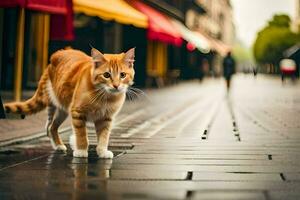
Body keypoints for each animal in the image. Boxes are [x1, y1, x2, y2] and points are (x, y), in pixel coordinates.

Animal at [4, 47, 135, 158]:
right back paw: (59, 144)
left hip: (63, 111)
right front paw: (81, 151)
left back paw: (58, 145)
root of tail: (56, 55)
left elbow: (104, 137)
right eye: (106, 75)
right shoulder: (78, 113)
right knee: (49, 124)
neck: (105, 96)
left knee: (52, 127)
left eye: (123, 75)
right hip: (55, 103)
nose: (116, 86)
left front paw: (102, 151)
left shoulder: (106, 118)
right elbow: (81, 135)